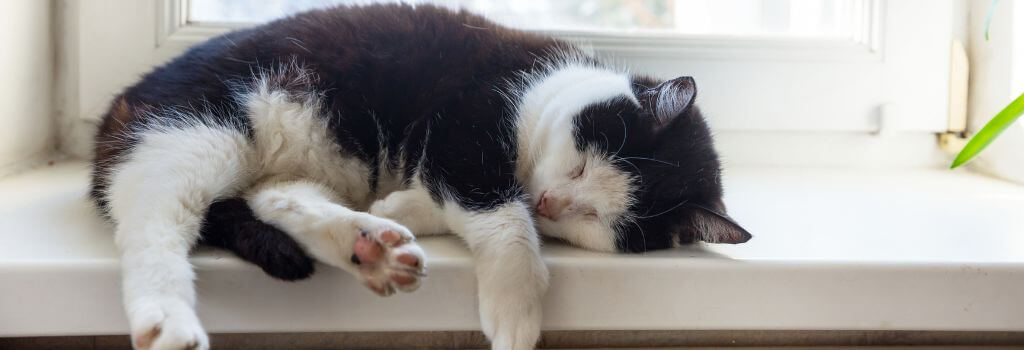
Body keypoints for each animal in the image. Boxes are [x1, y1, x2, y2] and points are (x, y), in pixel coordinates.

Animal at [90, 3, 753, 350]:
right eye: (582, 162)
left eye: (597, 216)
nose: (550, 201)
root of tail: (119, 103)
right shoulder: (466, 117)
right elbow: (501, 218)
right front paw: (516, 308)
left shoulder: (456, 161)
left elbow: (457, 198)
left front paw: (399, 210)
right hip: (201, 129)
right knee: (151, 220)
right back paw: (167, 320)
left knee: (278, 197)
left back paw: (369, 243)